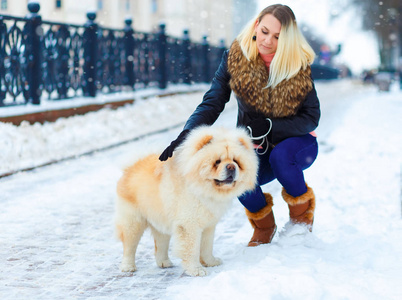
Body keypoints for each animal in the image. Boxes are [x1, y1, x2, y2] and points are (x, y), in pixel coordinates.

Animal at [114, 126, 258, 276]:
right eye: (217, 162)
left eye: (236, 161)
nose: (231, 167)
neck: (204, 189)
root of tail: (130, 167)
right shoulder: (189, 225)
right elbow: (192, 249)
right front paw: (197, 270)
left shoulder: (209, 225)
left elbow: (207, 246)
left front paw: (211, 262)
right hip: (133, 222)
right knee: (129, 246)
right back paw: (128, 266)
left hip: (160, 220)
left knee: (160, 243)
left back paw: (164, 262)